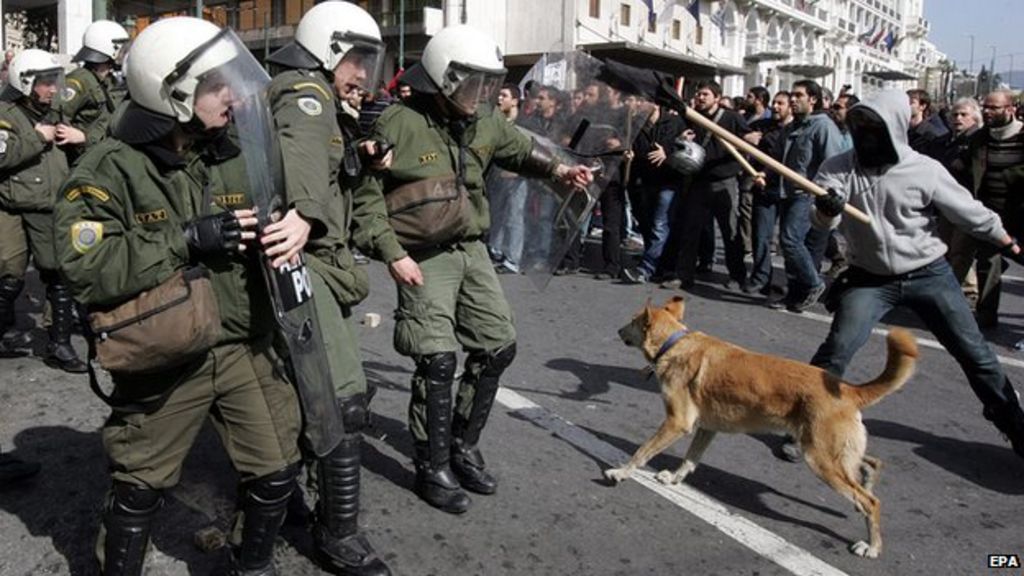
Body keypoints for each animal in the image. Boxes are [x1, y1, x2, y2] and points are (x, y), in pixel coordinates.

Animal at [606, 295, 921, 557]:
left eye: (632, 321)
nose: (618, 331)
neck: (675, 343)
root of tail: (847, 388)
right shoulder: (707, 428)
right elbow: (690, 459)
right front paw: (673, 478)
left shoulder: (677, 423)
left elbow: (642, 451)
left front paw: (621, 472)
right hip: (833, 451)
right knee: (871, 464)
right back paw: (867, 482)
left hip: (820, 458)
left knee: (871, 502)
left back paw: (872, 546)